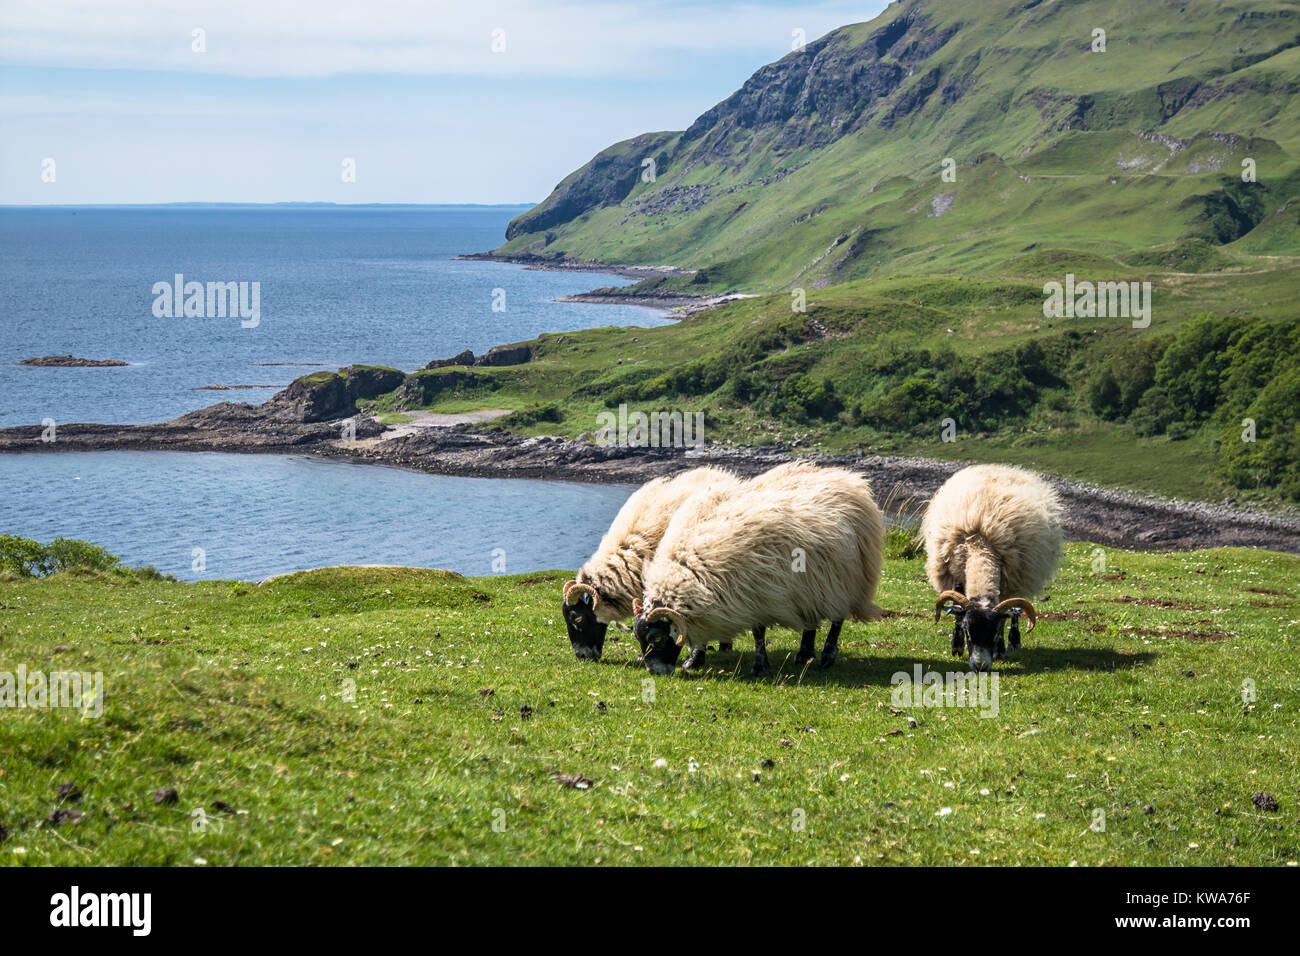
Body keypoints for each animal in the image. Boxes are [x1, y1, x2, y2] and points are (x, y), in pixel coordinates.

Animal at [629, 463, 883, 671]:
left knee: (838, 618)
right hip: (811, 584)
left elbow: (758, 633)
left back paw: (827, 655)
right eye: (639, 638)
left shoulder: (760, 595)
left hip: (844, 578)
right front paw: (695, 659)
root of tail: (847, 479)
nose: (655, 672)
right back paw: (804, 654)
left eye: (657, 638)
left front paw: (760, 666)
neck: (690, 564)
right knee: (811, 618)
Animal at [920, 463, 1060, 671]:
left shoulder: (1006, 581)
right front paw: (957, 645)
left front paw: (999, 650)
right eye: (967, 630)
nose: (980, 666)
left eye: (992, 633)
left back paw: (1013, 641)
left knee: (1014, 612)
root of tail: (999, 467)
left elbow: (1004, 618)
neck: (980, 544)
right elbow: (957, 610)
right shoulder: (956, 575)